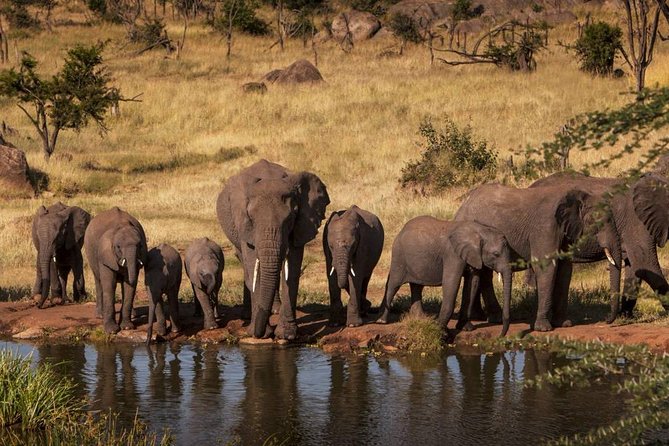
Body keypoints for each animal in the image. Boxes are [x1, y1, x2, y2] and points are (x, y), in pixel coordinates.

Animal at [216, 159, 330, 340]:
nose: (259, 334)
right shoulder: (244, 224)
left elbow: (292, 268)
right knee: (246, 266)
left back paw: (274, 309)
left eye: (291, 218)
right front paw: (261, 333)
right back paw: (248, 315)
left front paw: (287, 335)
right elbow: (252, 264)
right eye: (251, 217)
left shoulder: (301, 224)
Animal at [376, 216, 514, 336]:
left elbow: (473, 284)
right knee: (394, 285)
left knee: (417, 286)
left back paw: (421, 318)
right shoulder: (452, 254)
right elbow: (451, 282)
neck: (481, 230)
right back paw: (382, 321)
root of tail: (401, 230)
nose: (501, 335)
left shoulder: (473, 256)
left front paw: (466, 328)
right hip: (398, 255)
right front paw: (440, 330)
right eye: (496, 254)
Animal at [454, 184, 593, 332]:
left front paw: (564, 324)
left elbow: (564, 269)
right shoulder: (545, 227)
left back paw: (491, 317)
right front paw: (544, 329)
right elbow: (547, 267)